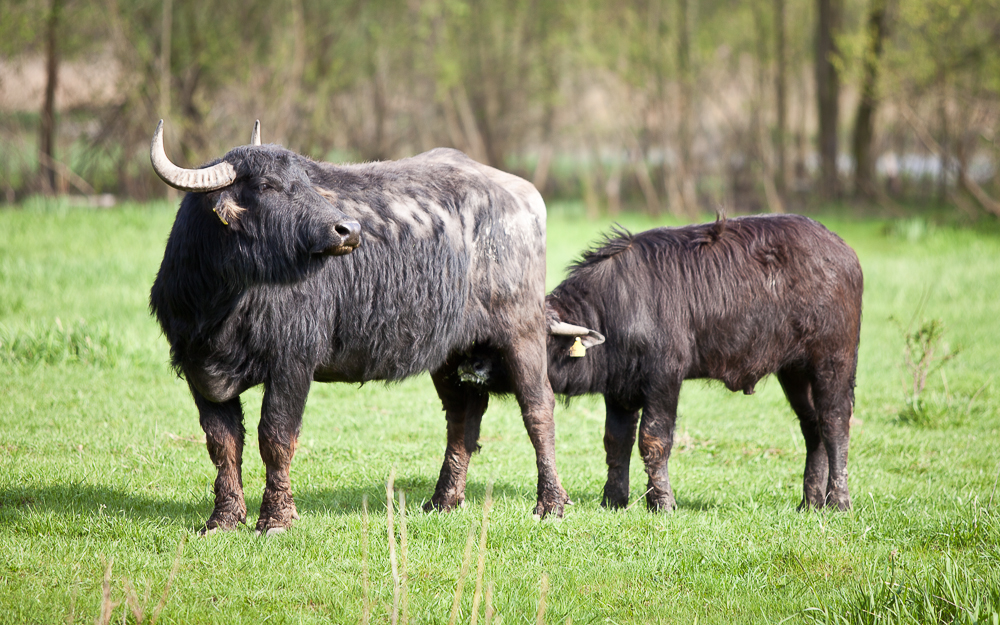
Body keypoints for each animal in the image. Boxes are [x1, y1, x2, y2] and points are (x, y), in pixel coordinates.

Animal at [148, 120, 572, 532]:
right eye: (266, 186)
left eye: (305, 180)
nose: (348, 230)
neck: (222, 303)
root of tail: (523, 197)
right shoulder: (199, 371)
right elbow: (222, 443)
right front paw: (224, 518)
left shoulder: (292, 363)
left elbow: (276, 437)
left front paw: (276, 518)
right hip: (450, 353)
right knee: (462, 418)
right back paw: (443, 500)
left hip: (522, 332)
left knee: (538, 410)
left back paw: (550, 503)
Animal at [460, 216, 860, 512]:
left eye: (528, 338)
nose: (473, 365)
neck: (614, 310)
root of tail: (843, 253)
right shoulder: (619, 391)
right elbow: (615, 442)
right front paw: (613, 500)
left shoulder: (665, 379)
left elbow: (654, 439)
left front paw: (662, 502)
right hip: (793, 371)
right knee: (812, 428)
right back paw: (810, 502)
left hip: (834, 360)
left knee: (834, 422)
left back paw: (838, 502)